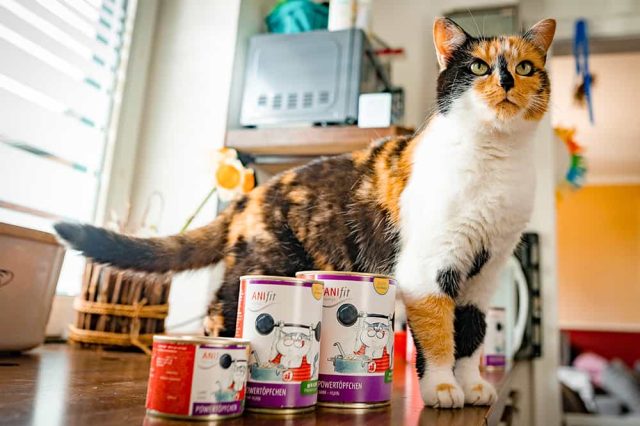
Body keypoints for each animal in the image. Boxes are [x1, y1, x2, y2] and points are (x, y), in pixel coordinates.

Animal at [54, 17, 556, 408]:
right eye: (478, 67)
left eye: (525, 67)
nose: (507, 81)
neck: (495, 161)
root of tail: (251, 195)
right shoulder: (430, 268)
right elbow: (438, 334)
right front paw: (443, 389)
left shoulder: (485, 273)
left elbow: (470, 334)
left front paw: (473, 387)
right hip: (263, 263)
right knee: (220, 306)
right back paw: (223, 356)